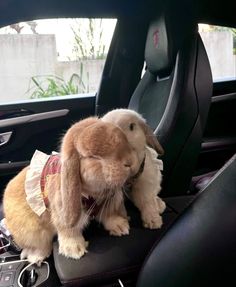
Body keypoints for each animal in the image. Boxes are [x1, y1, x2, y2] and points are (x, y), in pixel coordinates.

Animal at [2, 117, 140, 266]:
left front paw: (121, 227)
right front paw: (74, 250)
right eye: (93, 157)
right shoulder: (62, 213)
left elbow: (108, 215)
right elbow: (69, 231)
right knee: (39, 245)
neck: (91, 193)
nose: (130, 162)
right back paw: (36, 257)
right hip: (33, 231)